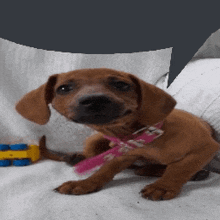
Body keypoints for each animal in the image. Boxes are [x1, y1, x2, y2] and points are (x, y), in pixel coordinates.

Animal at [15, 69, 218, 201]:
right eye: (63, 89)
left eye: (122, 85)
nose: (94, 100)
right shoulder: (124, 155)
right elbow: (104, 170)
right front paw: (86, 183)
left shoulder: (207, 147)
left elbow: (180, 167)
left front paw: (163, 186)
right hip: (94, 139)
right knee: (93, 156)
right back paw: (76, 157)